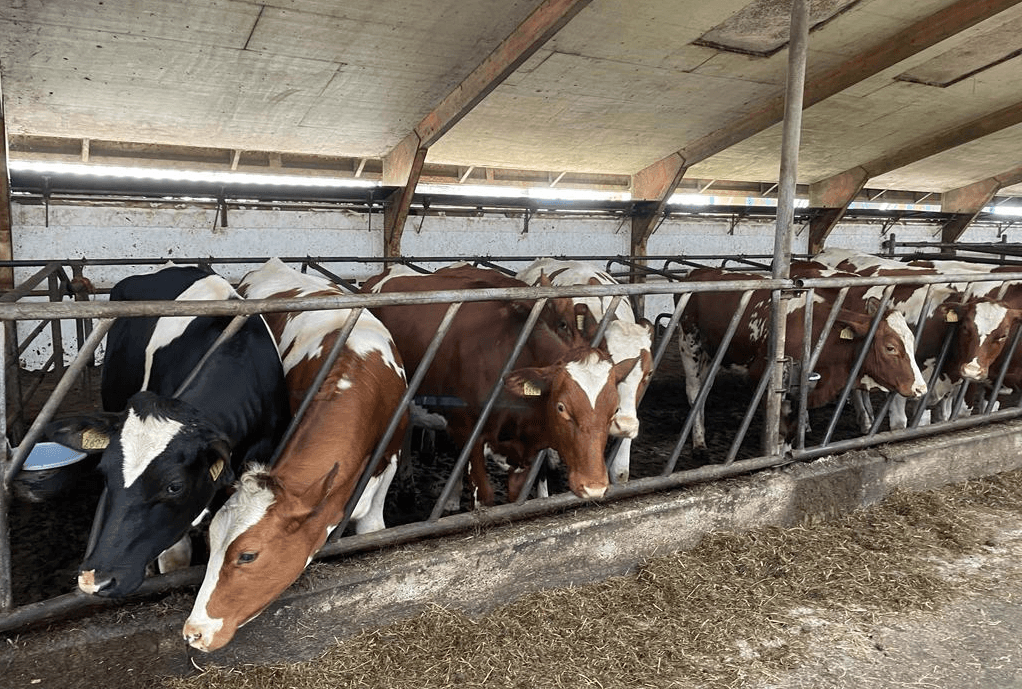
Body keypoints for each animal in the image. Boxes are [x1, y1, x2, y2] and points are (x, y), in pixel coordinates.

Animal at [182, 258, 409, 653]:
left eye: (248, 554)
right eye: (210, 543)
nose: (194, 632)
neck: (358, 367)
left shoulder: (390, 461)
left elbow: (372, 528)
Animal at [678, 267, 926, 451]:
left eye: (912, 342)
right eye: (890, 347)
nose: (921, 388)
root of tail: (699, 272)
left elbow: (790, 433)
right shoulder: (767, 382)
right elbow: (778, 432)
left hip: (711, 354)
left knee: (704, 390)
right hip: (689, 345)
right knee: (693, 390)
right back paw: (699, 442)